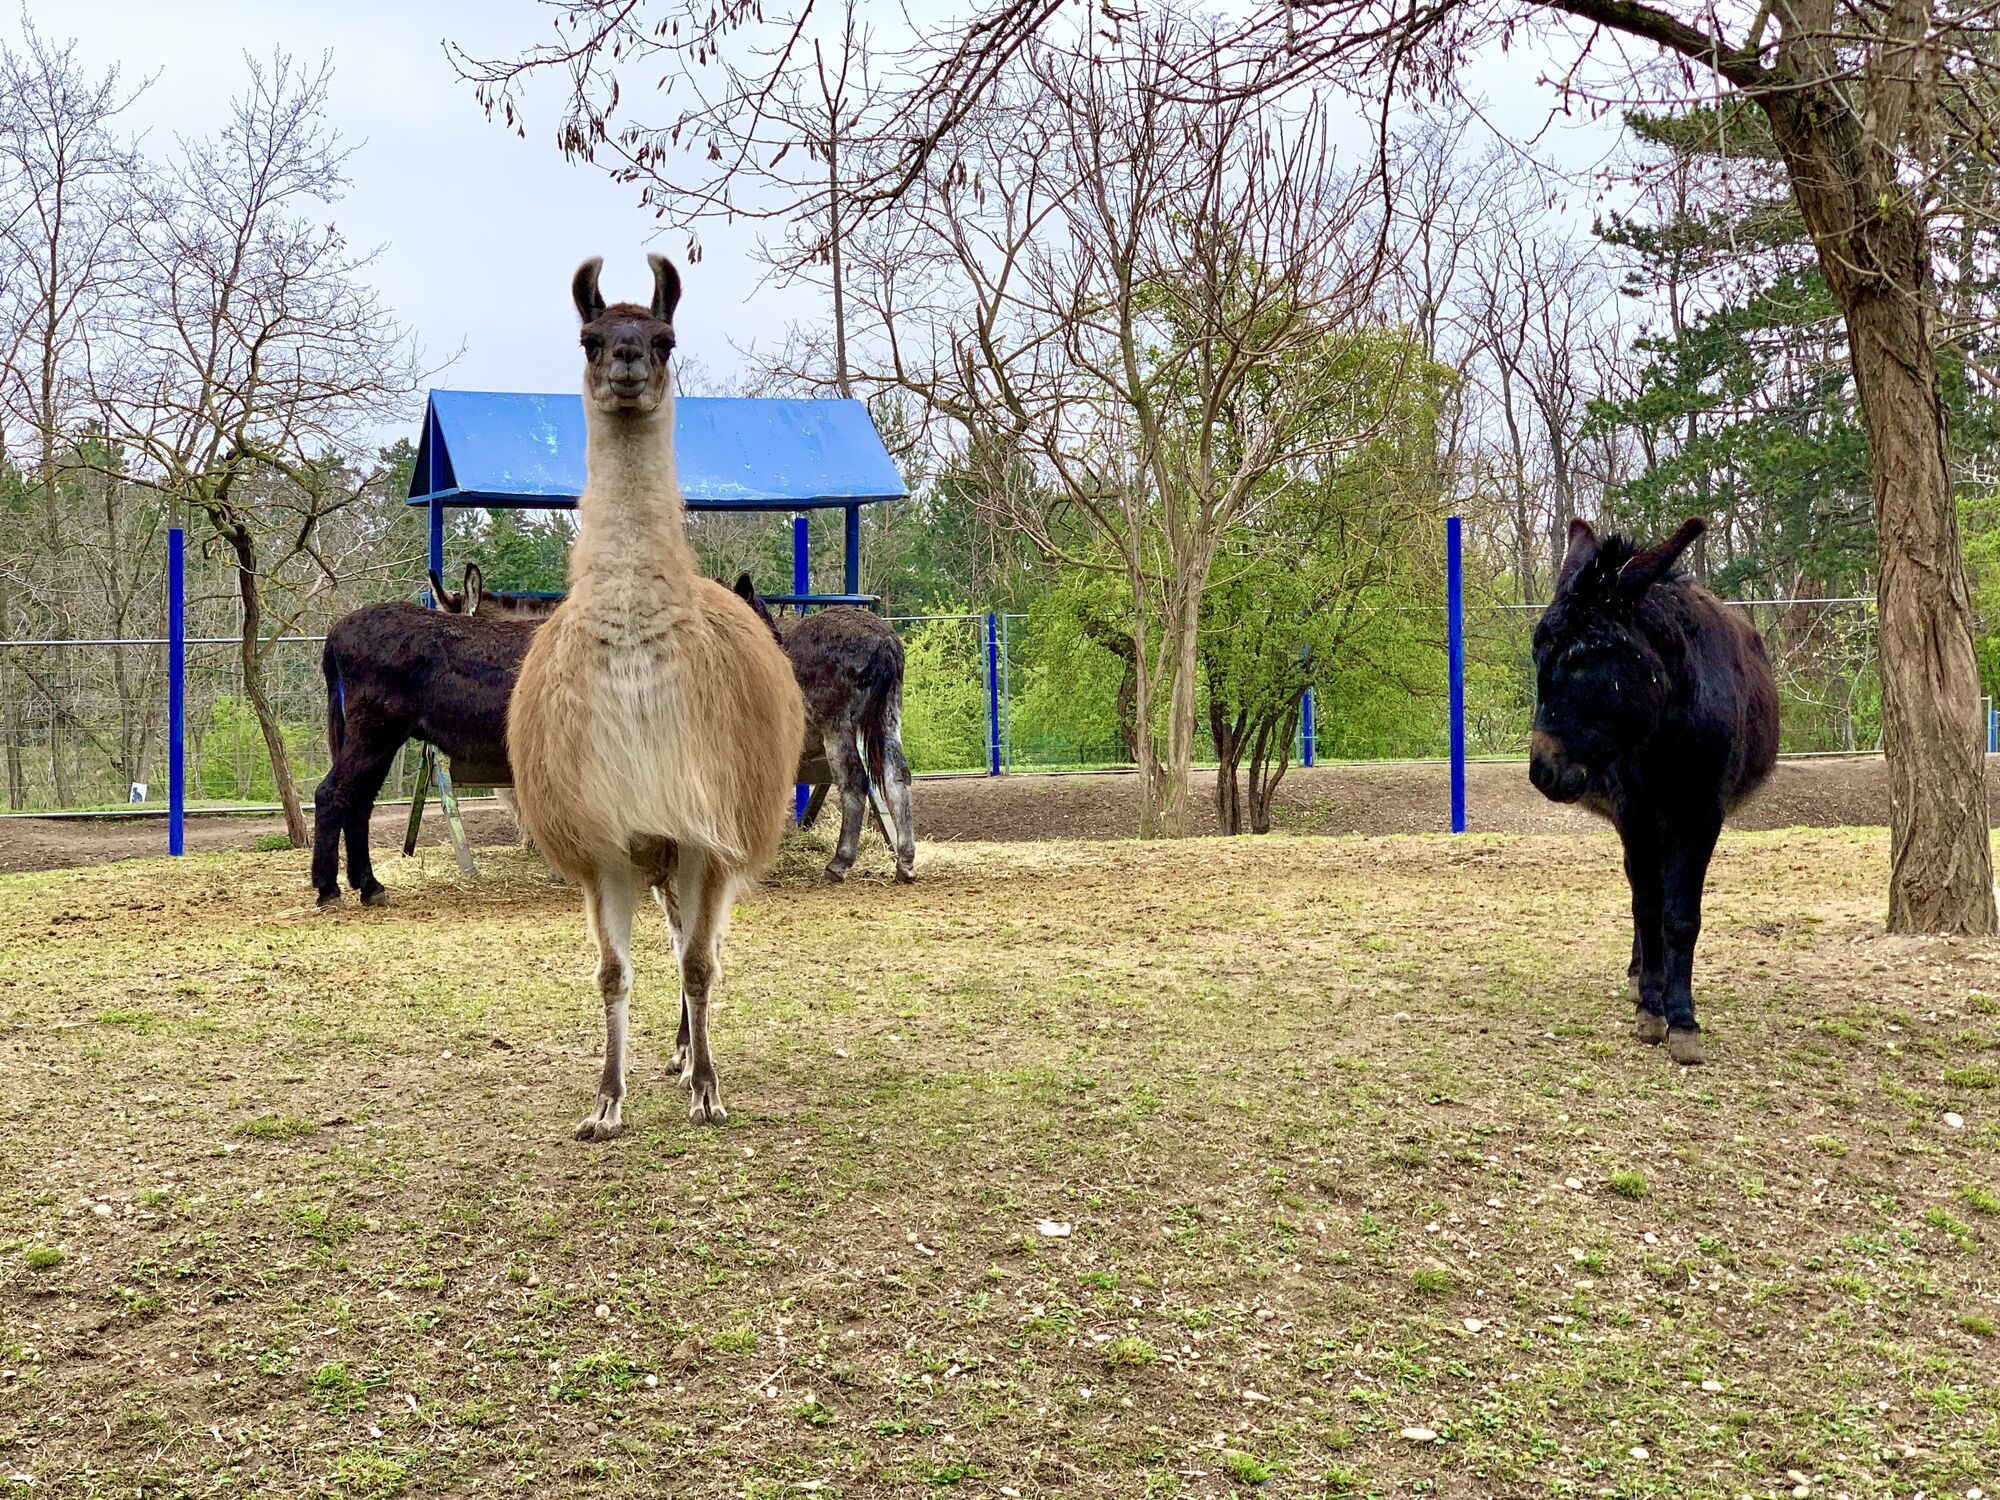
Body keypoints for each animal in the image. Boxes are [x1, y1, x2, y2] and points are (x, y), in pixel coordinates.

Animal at [507, 255, 806, 1137]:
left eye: (665, 337)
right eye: (591, 337)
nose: (629, 364)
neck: (638, 674)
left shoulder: (706, 823)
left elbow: (702, 964)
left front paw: (708, 1089)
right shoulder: (606, 834)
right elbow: (612, 973)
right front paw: (605, 1103)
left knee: (694, 945)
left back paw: (686, 1056)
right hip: (656, 853)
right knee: (671, 934)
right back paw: (669, 1053)